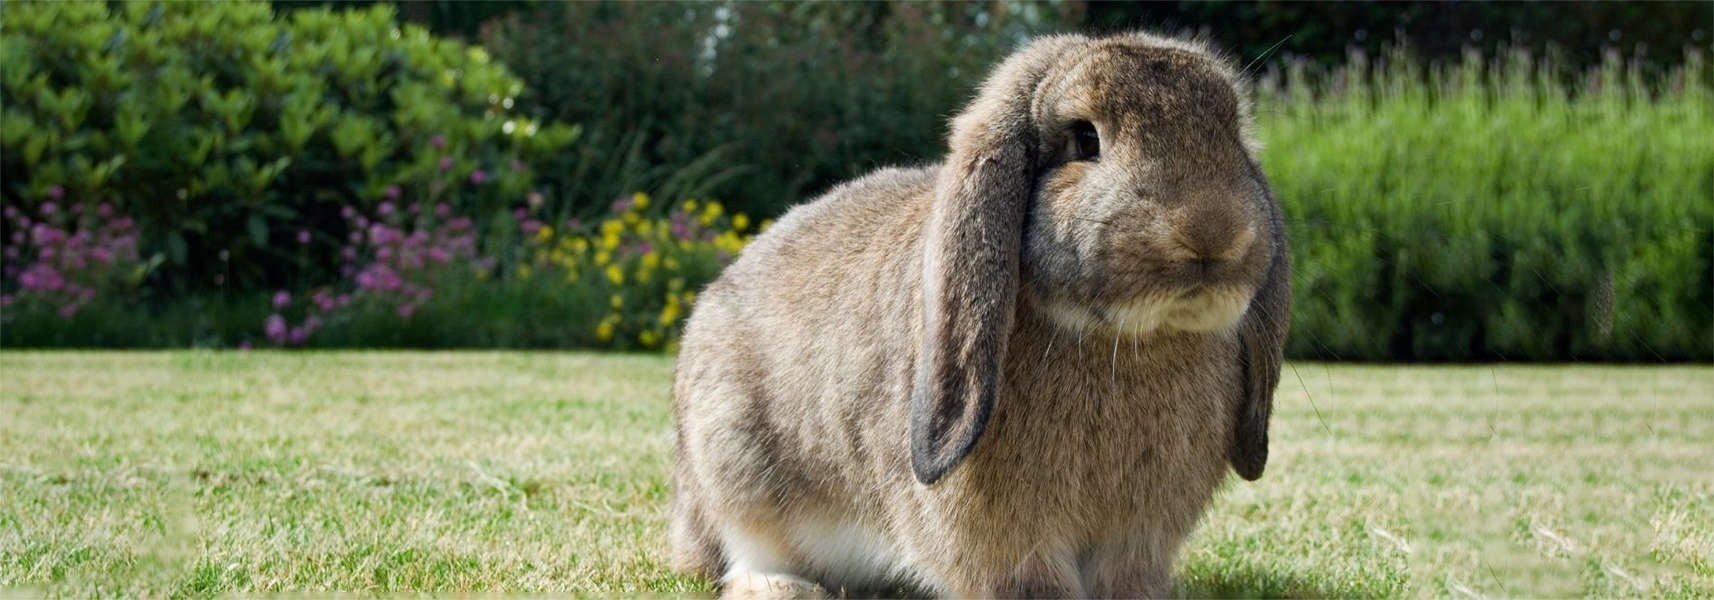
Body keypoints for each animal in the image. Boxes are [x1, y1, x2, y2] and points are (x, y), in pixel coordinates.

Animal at [670, 30, 1290, 599]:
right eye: (1084, 139)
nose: (1212, 233)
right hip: (734, 467)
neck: (1126, 339)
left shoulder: (1136, 539)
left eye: (1231, 136)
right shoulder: (1007, 543)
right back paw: (785, 587)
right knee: (744, 555)